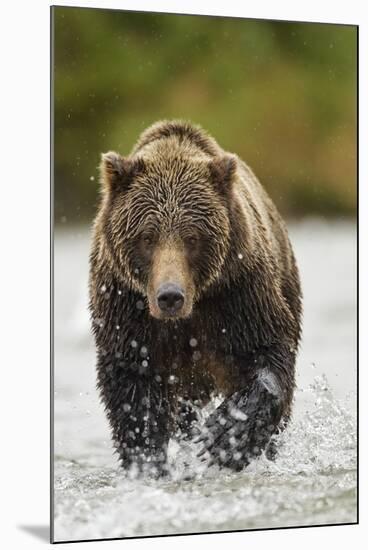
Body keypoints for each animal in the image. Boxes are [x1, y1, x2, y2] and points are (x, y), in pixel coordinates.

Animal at [89, 121, 302, 478]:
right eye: (147, 237)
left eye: (192, 237)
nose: (170, 296)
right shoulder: (126, 308)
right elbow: (133, 388)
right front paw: (147, 460)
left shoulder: (238, 292)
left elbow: (268, 351)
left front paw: (227, 435)